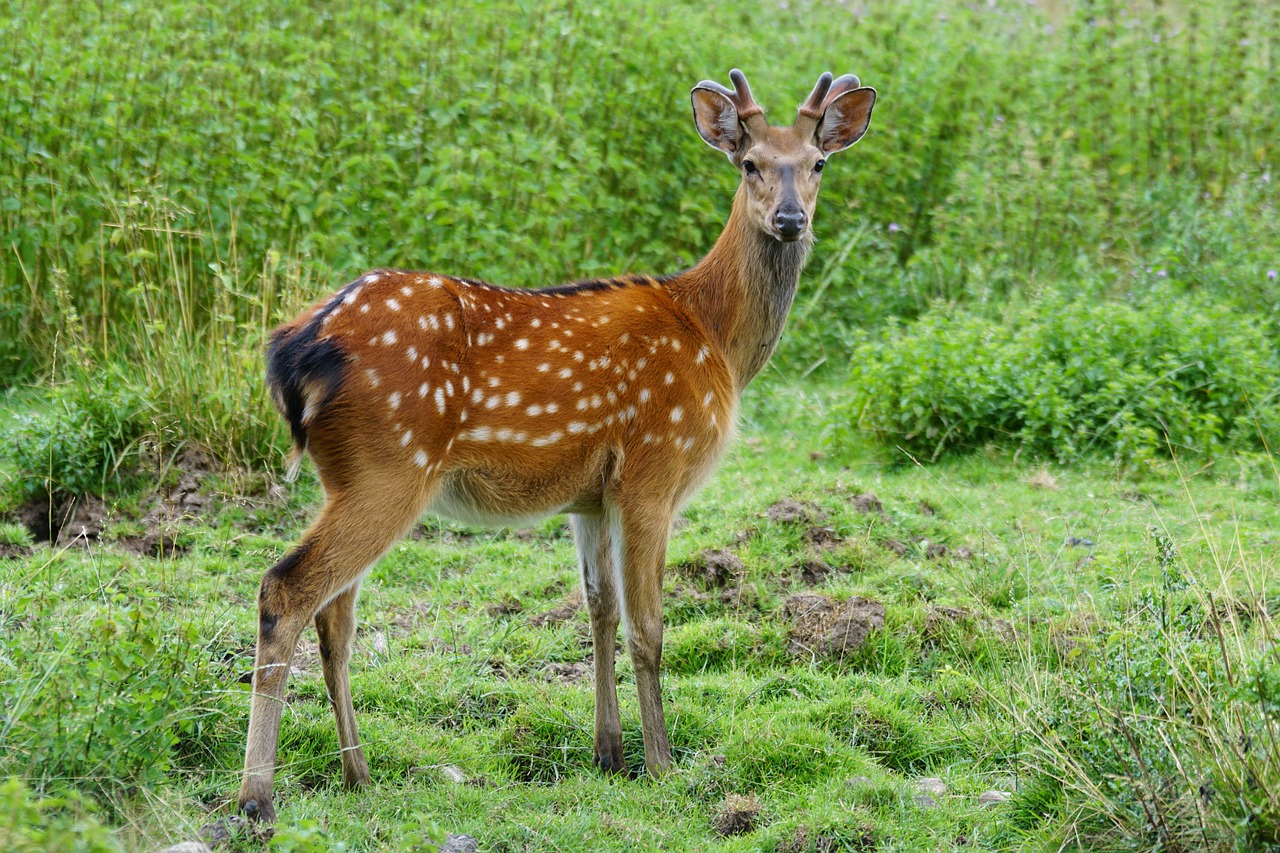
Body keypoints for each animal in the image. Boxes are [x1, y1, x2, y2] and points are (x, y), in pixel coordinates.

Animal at [235, 69, 875, 819]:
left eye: (817, 163)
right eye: (749, 163)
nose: (790, 219)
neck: (715, 336)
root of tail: (292, 349)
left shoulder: (590, 497)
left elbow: (599, 610)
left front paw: (610, 753)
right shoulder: (654, 467)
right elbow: (649, 627)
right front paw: (662, 765)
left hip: (347, 475)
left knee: (335, 615)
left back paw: (357, 773)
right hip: (390, 465)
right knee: (287, 589)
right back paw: (256, 797)